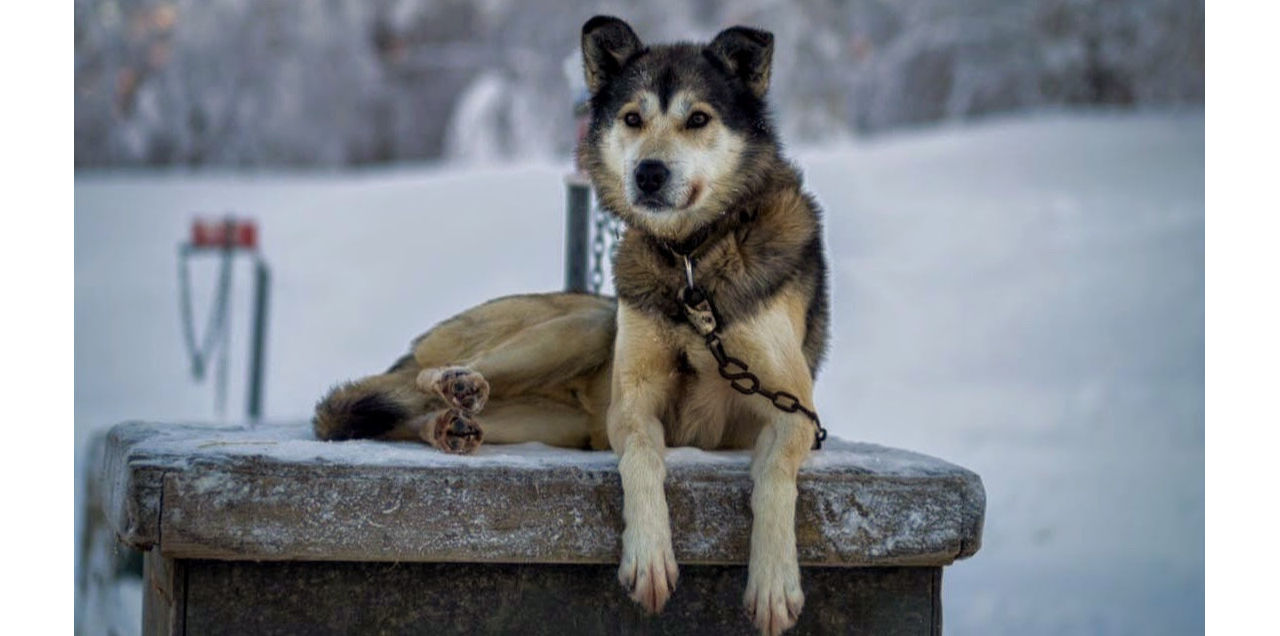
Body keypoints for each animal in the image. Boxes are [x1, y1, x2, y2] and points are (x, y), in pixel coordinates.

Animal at [311, 16, 829, 634]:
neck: (690, 263)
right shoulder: (632, 402)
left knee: (405, 414)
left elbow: (774, 477)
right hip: (580, 326)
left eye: (698, 119)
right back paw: (455, 386)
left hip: (550, 420)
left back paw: (445, 425)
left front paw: (774, 581)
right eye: (632, 118)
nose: (648, 173)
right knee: (422, 378)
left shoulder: (792, 408)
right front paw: (649, 556)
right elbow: (642, 459)